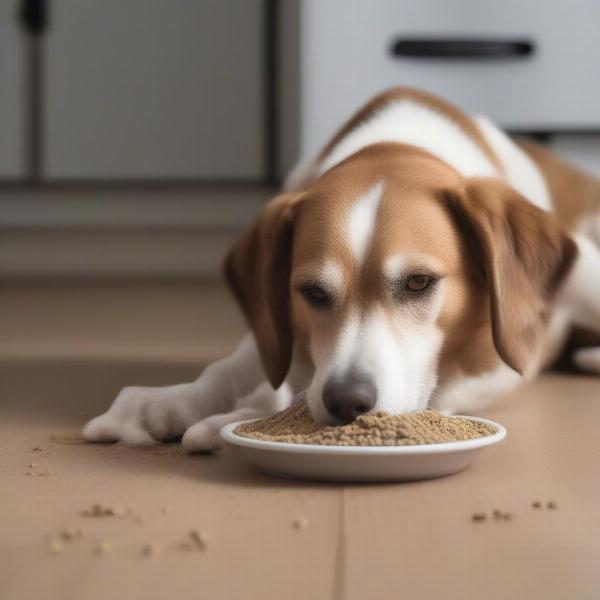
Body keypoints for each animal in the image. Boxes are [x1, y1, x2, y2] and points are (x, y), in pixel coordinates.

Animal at [83, 85, 600, 450]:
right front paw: (168, 403)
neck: (395, 142)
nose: (347, 401)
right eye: (312, 292)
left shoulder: (497, 363)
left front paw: (237, 416)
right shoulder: (274, 324)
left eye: (419, 282)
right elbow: (231, 367)